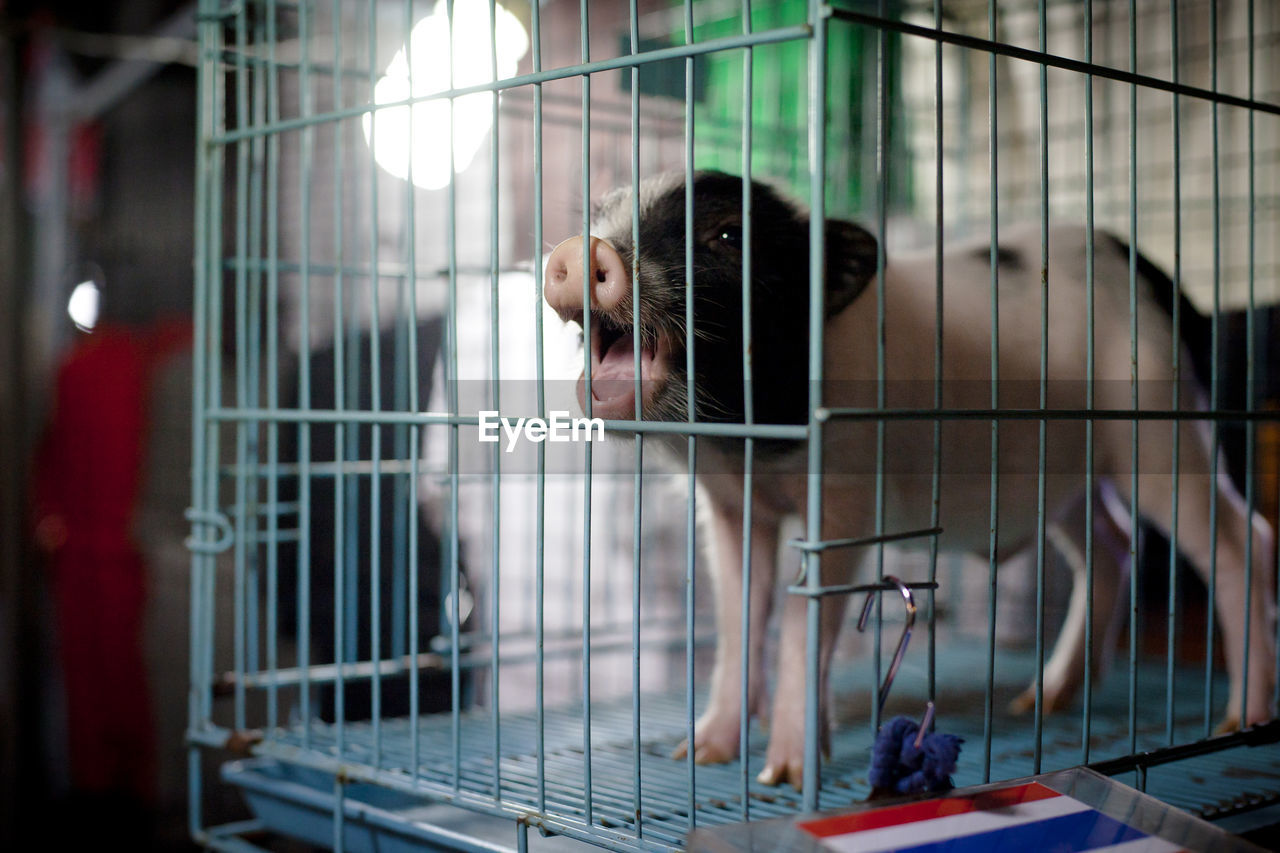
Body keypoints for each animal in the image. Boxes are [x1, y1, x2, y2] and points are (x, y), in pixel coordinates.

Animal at [537, 169, 1269, 788]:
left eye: (727, 235)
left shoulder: (846, 498)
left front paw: (786, 776)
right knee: (1113, 544)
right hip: (1061, 475)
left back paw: (1241, 719)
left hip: (1163, 428)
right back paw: (1041, 699)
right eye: (601, 214)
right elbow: (741, 615)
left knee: (1240, 540)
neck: (756, 448)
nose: (581, 247)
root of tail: (1154, 274)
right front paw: (700, 753)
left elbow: (804, 621)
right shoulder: (730, 506)